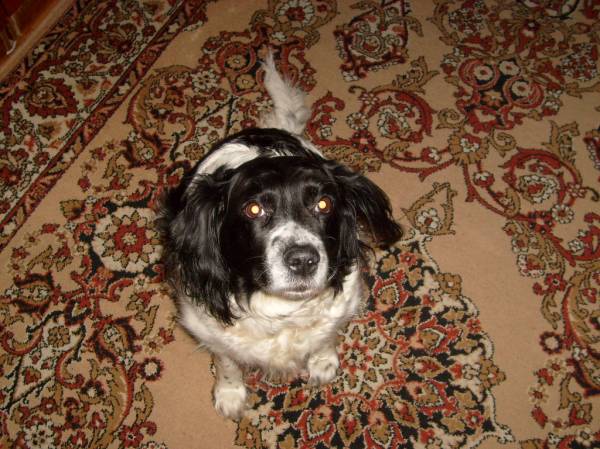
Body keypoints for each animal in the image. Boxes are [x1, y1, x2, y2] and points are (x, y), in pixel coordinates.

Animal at [157, 55, 402, 419]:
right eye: (253, 209)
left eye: (323, 204)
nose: (302, 260)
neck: (282, 310)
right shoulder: (208, 328)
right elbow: (226, 361)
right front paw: (230, 394)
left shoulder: (340, 306)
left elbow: (325, 335)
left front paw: (322, 362)